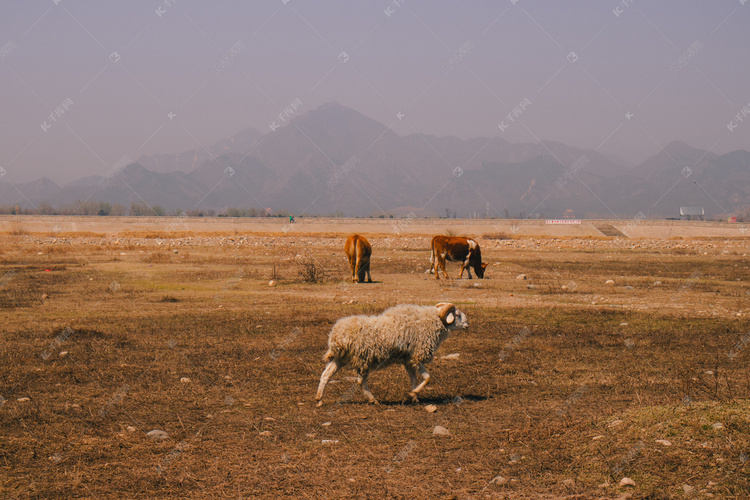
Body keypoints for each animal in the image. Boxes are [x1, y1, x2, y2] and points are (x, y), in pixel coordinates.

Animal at [314, 300, 468, 406]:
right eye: (457, 314)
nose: (468, 323)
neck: (431, 322)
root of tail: (336, 336)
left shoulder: (408, 360)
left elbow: (414, 379)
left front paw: (413, 397)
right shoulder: (417, 356)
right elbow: (427, 378)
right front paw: (412, 394)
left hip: (340, 358)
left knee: (326, 374)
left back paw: (319, 399)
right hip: (362, 358)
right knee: (360, 381)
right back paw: (373, 400)